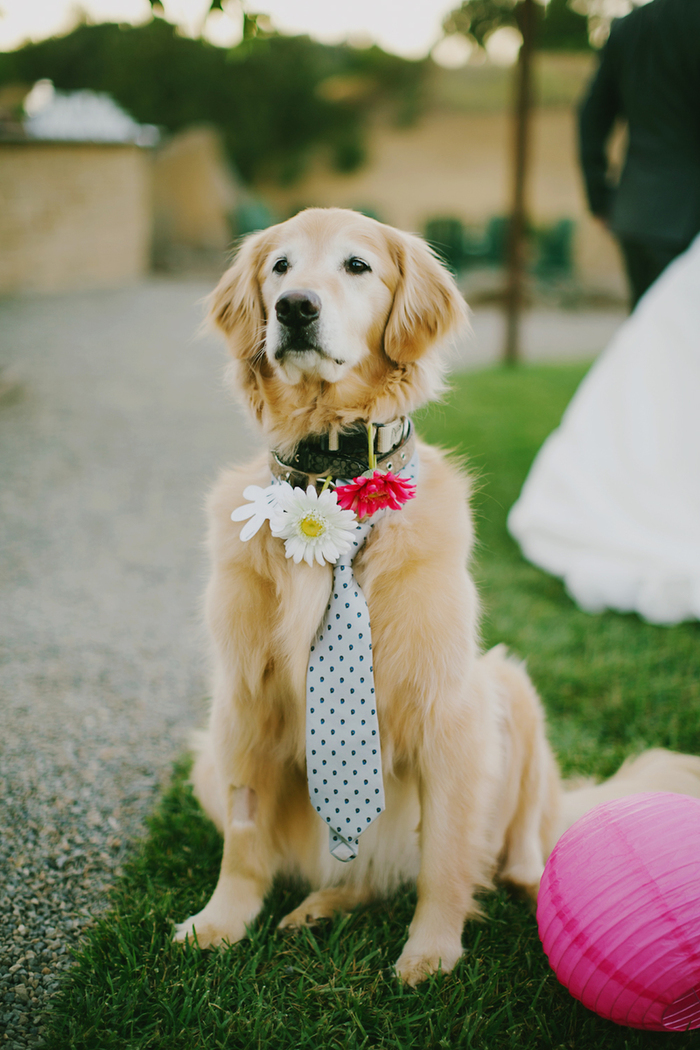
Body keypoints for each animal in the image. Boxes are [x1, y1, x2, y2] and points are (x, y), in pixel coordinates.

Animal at [172, 206, 700, 982]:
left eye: (357, 265)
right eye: (279, 267)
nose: (295, 308)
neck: (333, 481)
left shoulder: (449, 708)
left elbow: (446, 855)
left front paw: (431, 952)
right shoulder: (242, 702)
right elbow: (244, 839)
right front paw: (219, 923)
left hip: (508, 687)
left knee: (509, 849)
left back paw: (530, 885)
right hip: (208, 757)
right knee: (353, 874)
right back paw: (319, 906)